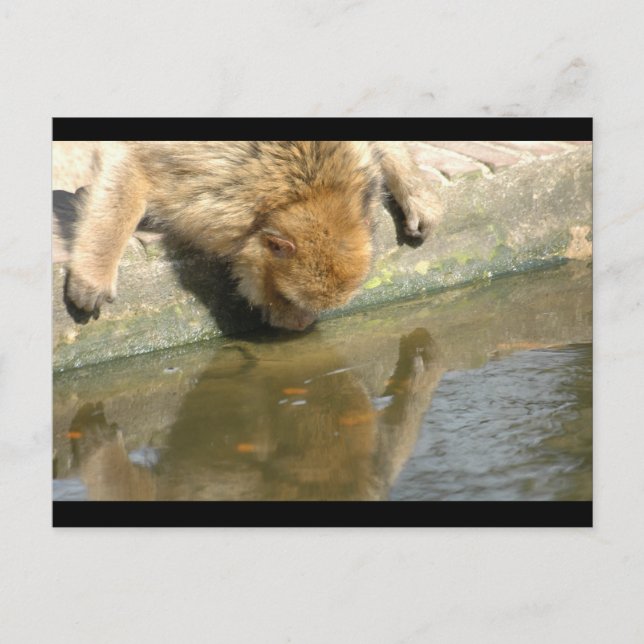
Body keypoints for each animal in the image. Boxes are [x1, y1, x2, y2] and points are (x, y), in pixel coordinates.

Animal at [65, 141, 441, 331]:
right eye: (289, 299)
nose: (301, 325)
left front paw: (414, 191)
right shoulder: (211, 180)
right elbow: (136, 164)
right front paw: (94, 272)